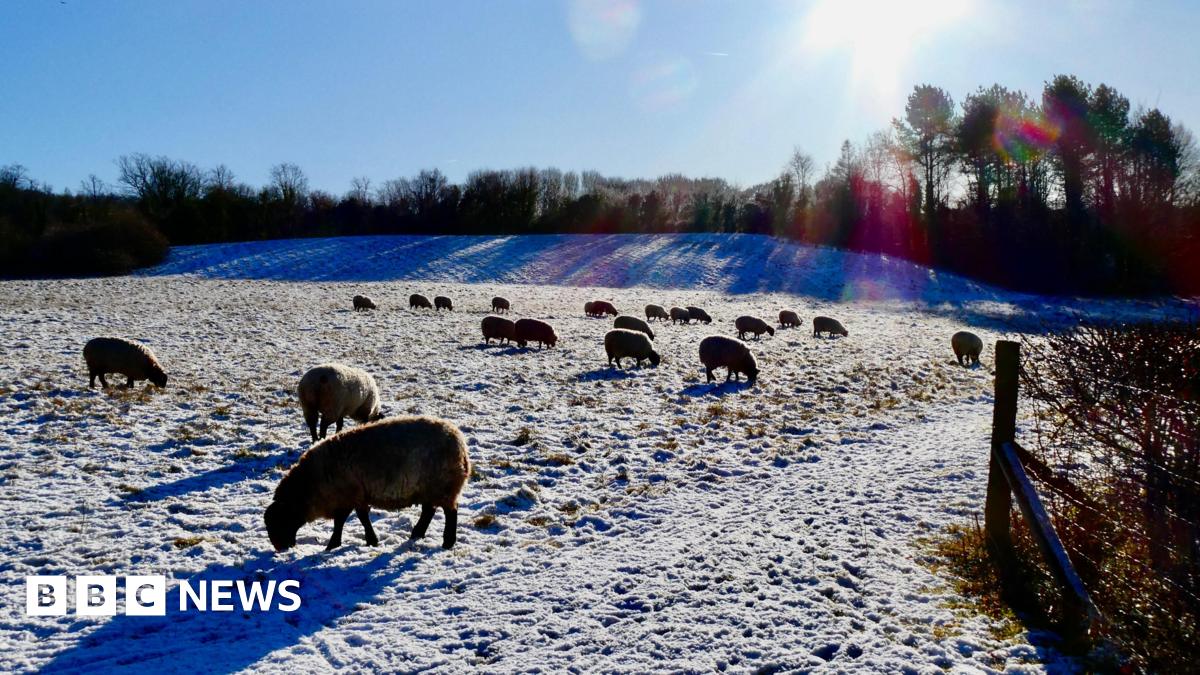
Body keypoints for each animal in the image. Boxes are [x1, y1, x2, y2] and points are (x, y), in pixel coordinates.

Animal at [264, 416, 470, 551]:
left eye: (279, 521)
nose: (280, 548)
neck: (311, 485)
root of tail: (460, 444)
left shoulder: (349, 494)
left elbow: (350, 519)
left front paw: (339, 543)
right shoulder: (352, 496)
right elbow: (352, 518)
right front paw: (363, 541)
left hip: (442, 485)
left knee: (450, 512)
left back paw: (447, 542)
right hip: (430, 487)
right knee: (429, 510)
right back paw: (417, 534)